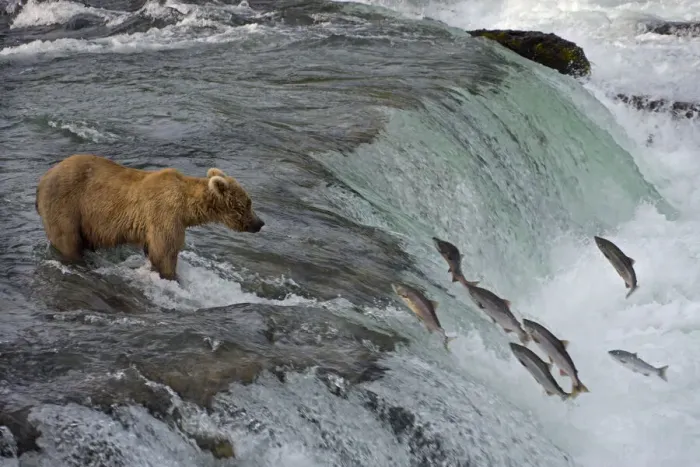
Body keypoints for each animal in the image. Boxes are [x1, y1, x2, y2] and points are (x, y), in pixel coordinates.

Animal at [35, 153, 265, 281]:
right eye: (248, 203)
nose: (260, 223)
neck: (187, 208)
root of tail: (43, 178)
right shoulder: (165, 215)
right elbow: (165, 252)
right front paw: (172, 277)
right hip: (68, 206)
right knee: (67, 240)